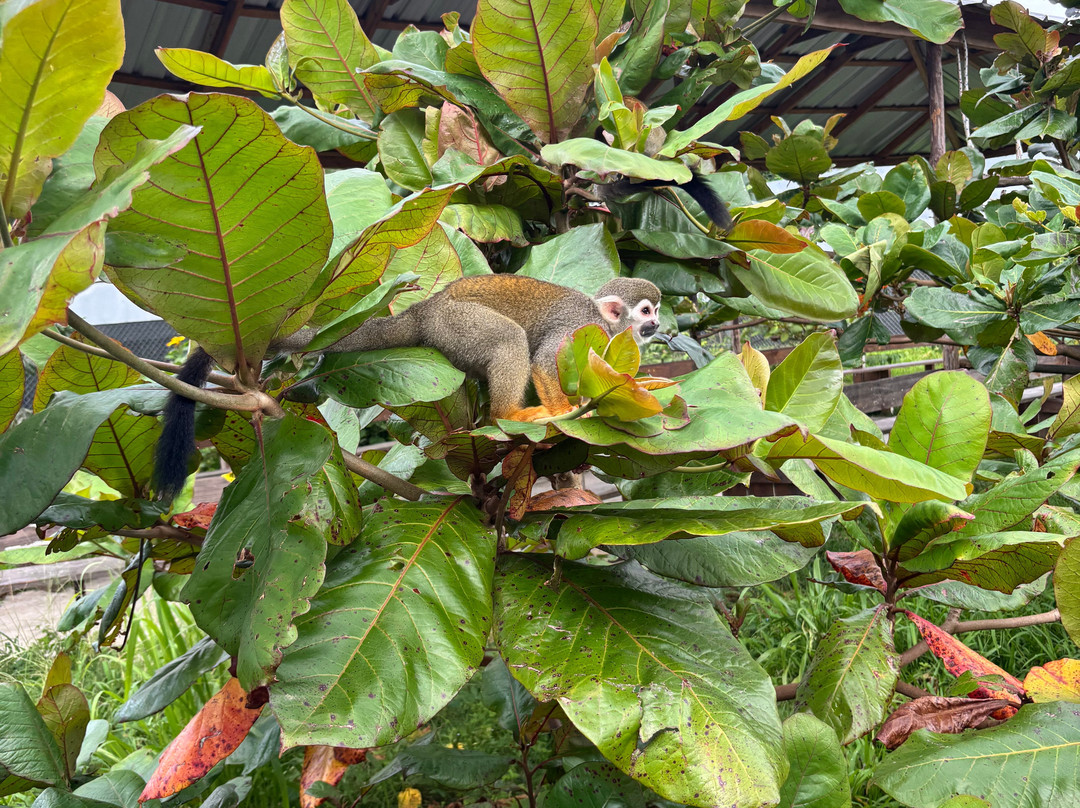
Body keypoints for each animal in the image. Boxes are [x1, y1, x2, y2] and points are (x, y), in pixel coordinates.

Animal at [152, 275, 661, 500]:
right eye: (646, 311)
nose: (658, 326)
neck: (604, 324)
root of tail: (424, 310)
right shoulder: (577, 329)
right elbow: (541, 358)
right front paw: (562, 409)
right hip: (458, 324)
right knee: (510, 340)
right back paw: (508, 415)